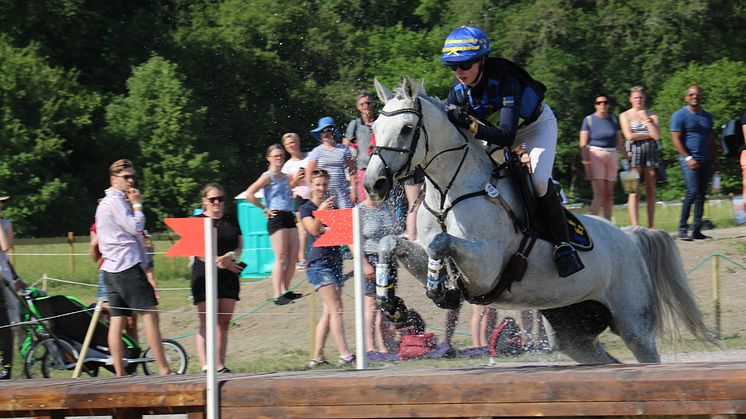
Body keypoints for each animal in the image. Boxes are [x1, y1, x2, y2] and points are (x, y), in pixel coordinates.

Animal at [364, 77, 712, 366]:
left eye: (407, 128)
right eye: (375, 126)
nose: (373, 184)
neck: (448, 193)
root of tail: (630, 236)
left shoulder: (486, 268)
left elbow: (442, 242)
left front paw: (442, 293)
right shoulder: (424, 252)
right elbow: (389, 243)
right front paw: (392, 305)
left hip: (633, 323)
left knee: (645, 354)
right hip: (572, 330)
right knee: (601, 359)